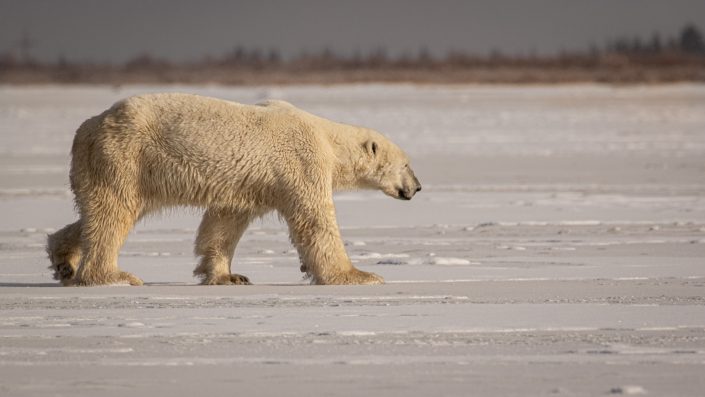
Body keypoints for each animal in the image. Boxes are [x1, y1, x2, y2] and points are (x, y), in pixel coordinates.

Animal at [48, 93, 424, 284]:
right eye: (407, 164)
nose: (417, 187)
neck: (326, 137)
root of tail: (87, 128)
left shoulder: (250, 181)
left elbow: (224, 222)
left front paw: (228, 275)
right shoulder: (302, 161)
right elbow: (314, 220)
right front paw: (358, 275)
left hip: (112, 164)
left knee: (100, 211)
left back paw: (64, 261)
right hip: (125, 156)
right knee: (113, 211)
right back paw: (115, 276)